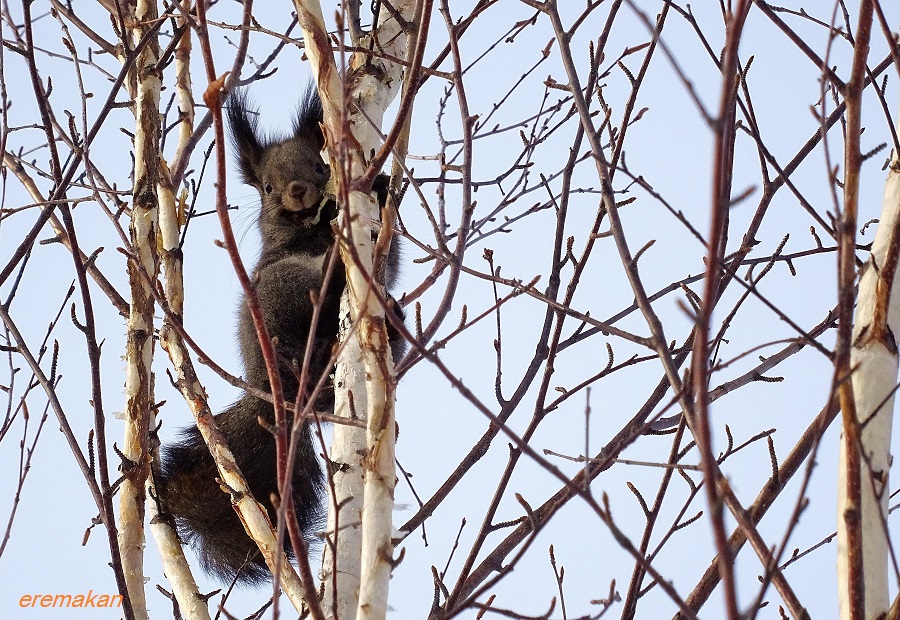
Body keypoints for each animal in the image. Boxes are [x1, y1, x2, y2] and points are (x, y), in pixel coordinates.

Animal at [156, 87, 404, 585]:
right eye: (267, 187)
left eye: (319, 166)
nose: (296, 191)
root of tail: (272, 393)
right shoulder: (280, 252)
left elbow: (392, 257)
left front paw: (385, 186)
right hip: (280, 290)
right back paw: (329, 281)